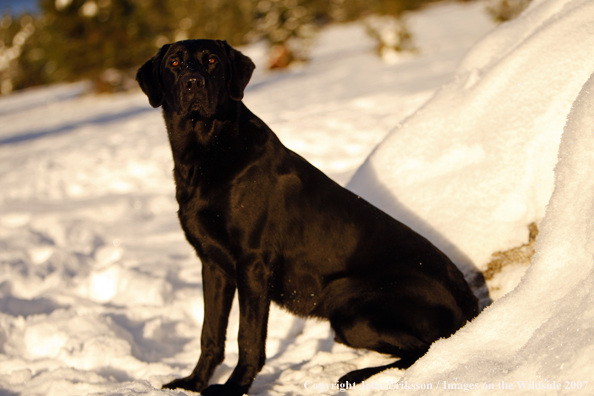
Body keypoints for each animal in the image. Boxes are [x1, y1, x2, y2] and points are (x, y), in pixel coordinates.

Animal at [135, 38, 476, 396]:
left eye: (212, 60)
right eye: (174, 63)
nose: (194, 83)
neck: (207, 152)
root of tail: (470, 304)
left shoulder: (252, 263)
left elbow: (248, 338)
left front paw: (233, 388)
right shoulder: (212, 264)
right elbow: (209, 333)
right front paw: (193, 383)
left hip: (349, 306)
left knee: (427, 348)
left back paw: (357, 375)